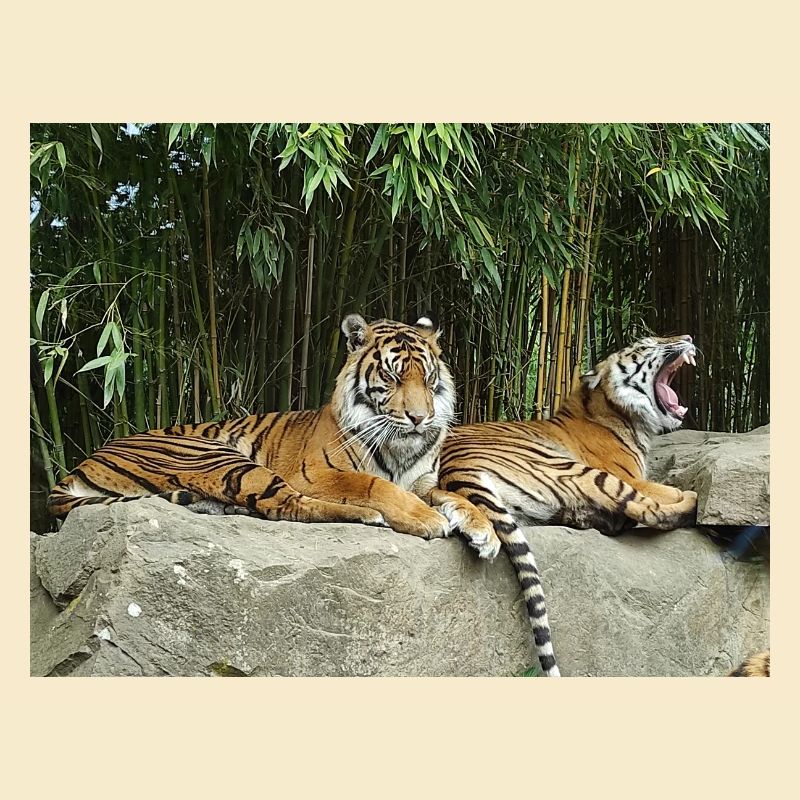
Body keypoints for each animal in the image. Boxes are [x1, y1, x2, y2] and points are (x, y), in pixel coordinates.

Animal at [48, 314, 494, 548]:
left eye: (428, 377)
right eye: (392, 376)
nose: (420, 418)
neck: (401, 445)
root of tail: (82, 463)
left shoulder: (422, 481)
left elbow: (453, 494)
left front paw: (483, 530)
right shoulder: (315, 472)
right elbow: (375, 484)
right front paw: (426, 519)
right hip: (215, 456)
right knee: (288, 506)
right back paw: (367, 517)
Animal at [440, 335, 700, 677]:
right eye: (646, 345)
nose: (688, 338)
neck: (617, 414)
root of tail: (456, 466)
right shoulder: (631, 477)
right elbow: (665, 490)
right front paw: (685, 491)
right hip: (579, 471)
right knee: (651, 512)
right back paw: (693, 501)